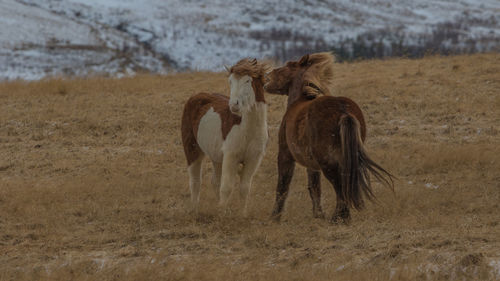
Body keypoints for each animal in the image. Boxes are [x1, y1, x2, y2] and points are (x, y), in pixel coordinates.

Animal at [183, 58, 272, 213]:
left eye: (248, 81)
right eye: (230, 81)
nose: (234, 105)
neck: (247, 129)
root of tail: (195, 96)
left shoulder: (253, 159)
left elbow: (244, 188)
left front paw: (242, 214)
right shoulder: (231, 156)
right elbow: (227, 187)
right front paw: (222, 213)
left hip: (217, 157)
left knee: (215, 182)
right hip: (192, 149)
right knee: (195, 181)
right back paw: (194, 209)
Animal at [264, 52, 392, 223]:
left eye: (288, 65)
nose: (267, 75)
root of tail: (343, 112)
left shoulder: (285, 155)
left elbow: (283, 187)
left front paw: (274, 217)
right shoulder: (311, 164)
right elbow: (314, 188)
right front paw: (318, 215)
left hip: (328, 163)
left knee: (339, 186)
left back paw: (339, 218)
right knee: (343, 184)